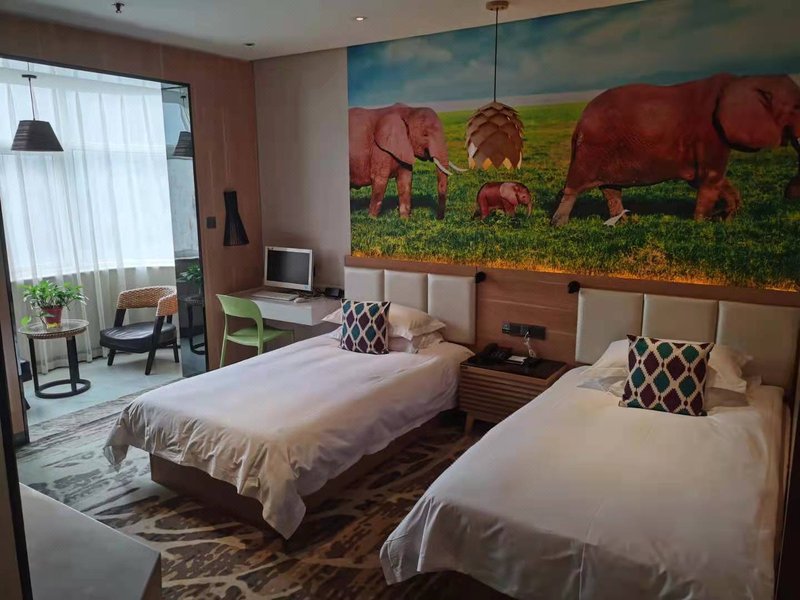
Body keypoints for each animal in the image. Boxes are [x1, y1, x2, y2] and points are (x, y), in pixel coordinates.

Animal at [550, 74, 800, 226]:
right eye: (796, 108)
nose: (789, 194)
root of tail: (581, 118)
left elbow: (709, 179)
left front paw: (727, 219)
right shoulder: (708, 132)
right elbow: (710, 177)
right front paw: (701, 223)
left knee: (611, 188)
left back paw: (624, 223)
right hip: (592, 147)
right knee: (575, 188)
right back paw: (559, 224)